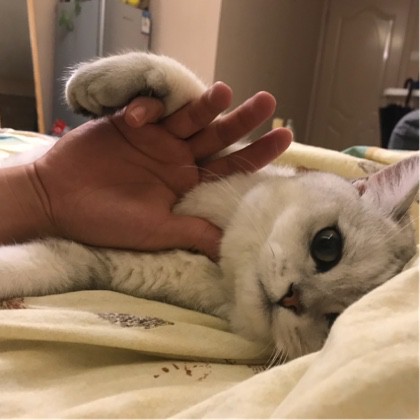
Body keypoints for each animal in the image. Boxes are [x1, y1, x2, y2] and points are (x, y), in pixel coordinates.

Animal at [0, 52, 418, 361]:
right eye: (328, 245)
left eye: (333, 321)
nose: (292, 297)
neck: (221, 262)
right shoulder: (215, 159)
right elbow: (193, 93)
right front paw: (96, 81)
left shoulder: (94, 260)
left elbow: (34, 266)